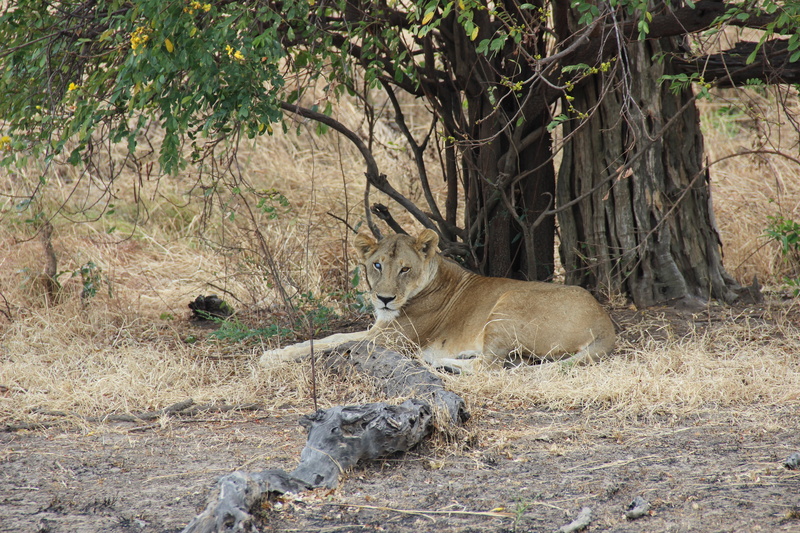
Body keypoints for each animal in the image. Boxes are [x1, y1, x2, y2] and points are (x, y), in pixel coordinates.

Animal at [260, 229, 615, 373]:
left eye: (405, 268)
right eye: (377, 265)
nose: (384, 299)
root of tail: (605, 323)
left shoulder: (393, 341)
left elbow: (336, 344)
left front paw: (273, 357)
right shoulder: (380, 329)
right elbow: (330, 337)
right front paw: (275, 353)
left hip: (508, 302)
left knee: (491, 368)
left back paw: (439, 362)